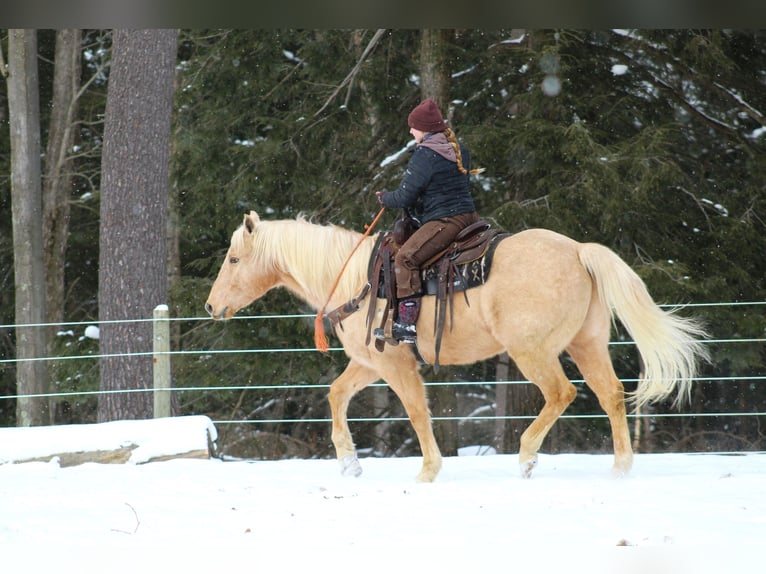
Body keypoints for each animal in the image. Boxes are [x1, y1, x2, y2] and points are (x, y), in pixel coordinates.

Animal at [207, 212, 712, 482]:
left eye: (233, 259)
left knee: (562, 393)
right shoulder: (369, 363)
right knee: (610, 395)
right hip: (586, 344)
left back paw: (527, 456)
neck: (355, 279)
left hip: (533, 352)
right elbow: (336, 395)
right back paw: (620, 468)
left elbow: (417, 413)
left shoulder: (395, 364)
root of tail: (578, 250)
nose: (211, 306)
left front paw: (428, 470)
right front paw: (349, 463)